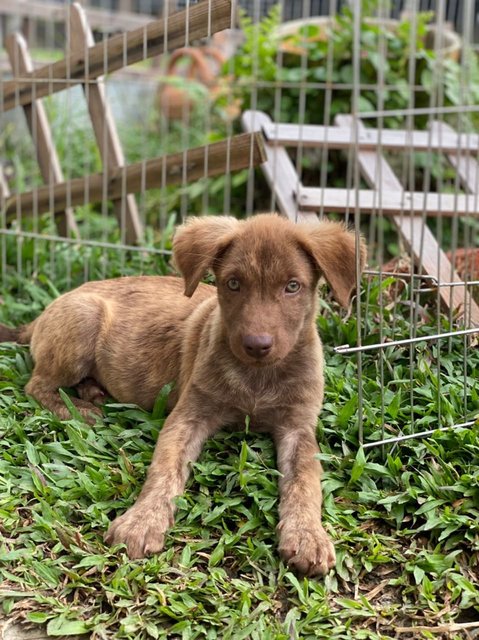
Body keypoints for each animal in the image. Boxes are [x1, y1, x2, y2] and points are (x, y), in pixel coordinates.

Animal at [0, 214, 368, 576]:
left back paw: (93, 392)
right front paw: (142, 521)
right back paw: (80, 409)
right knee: (36, 385)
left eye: (293, 286)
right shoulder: (188, 415)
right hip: (82, 318)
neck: (257, 378)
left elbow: (305, 484)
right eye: (233, 284)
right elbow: (165, 470)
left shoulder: (298, 428)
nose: (257, 345)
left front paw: (308, 535)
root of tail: (41, 315)